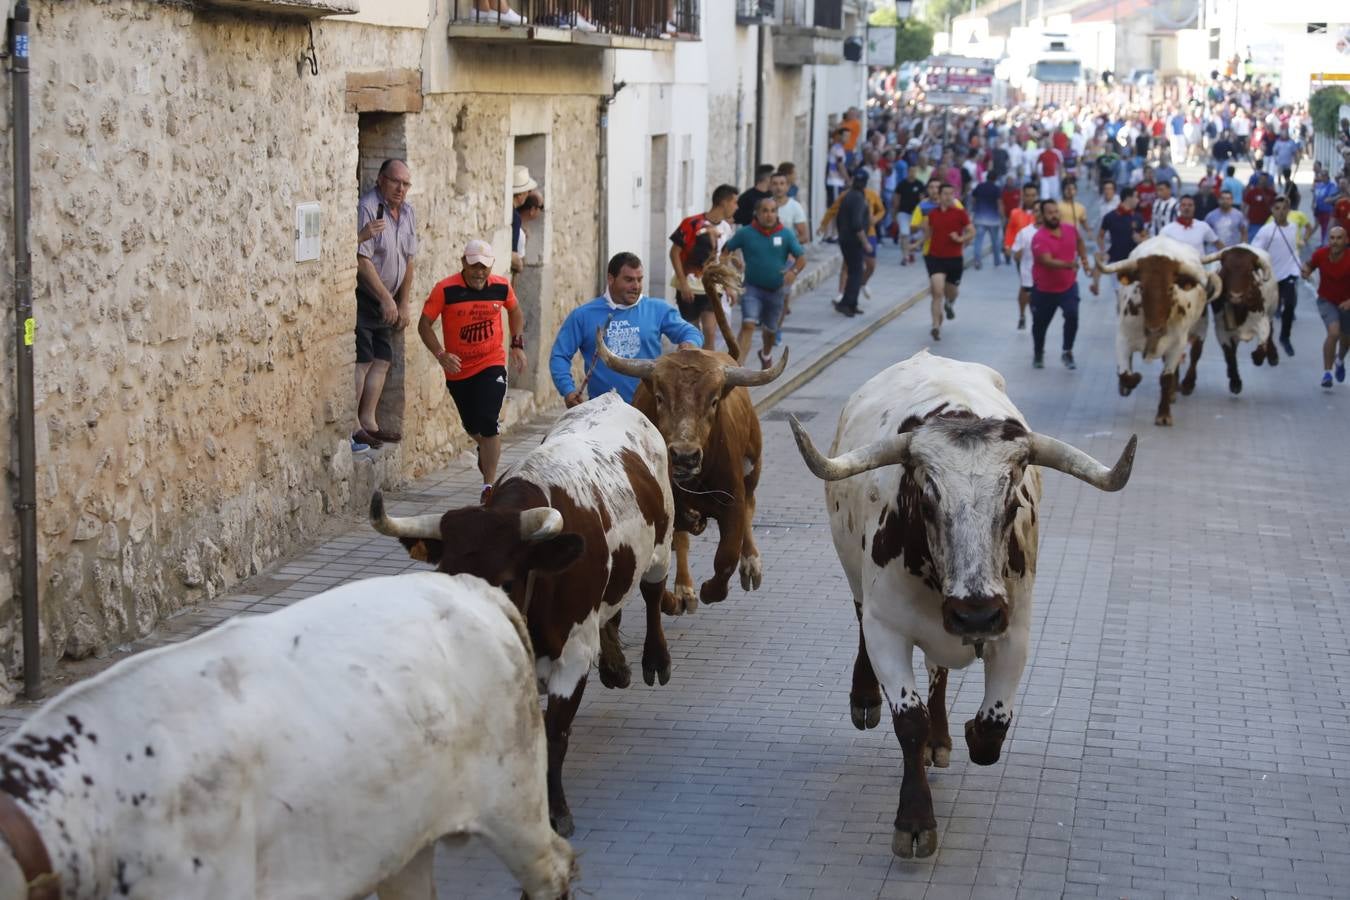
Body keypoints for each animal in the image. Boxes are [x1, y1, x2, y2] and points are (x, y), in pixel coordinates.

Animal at [788, 350, 1134, 858]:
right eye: (927, 499)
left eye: (1012, 502)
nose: (976, 613)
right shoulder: (886, 629)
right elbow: (908, 719)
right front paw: (914, 819)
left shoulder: (1013, 631)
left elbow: (993, 726)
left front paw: (966, 732)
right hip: (853, 574)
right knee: (861, 622)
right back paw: (865, 700)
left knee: (939, 673)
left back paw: (942, 737)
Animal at [1096, 236, 1225, 426]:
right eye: (1141, 287)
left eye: (1171, 288)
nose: (1155, 328)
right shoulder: (1123, 339)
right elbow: (1125, 374)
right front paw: (1130, 382)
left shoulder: (1177, 345)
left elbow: (1166, 378)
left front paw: (1163, 414)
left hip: (1200, 326)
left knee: (1195, 354)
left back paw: (1183, 387)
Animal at [1198, 242, 1279, 394]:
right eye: (1226, 270)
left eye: (1249, 271)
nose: (1236, 295)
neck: (1240, 310)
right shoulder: (1221, 329)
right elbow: (1229, 354)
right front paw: (1235, 382)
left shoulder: (1262, 321)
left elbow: (1263, 343)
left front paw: (1257, 358)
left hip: (1271, 311)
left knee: (1271, 331)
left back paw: (1273, 357)